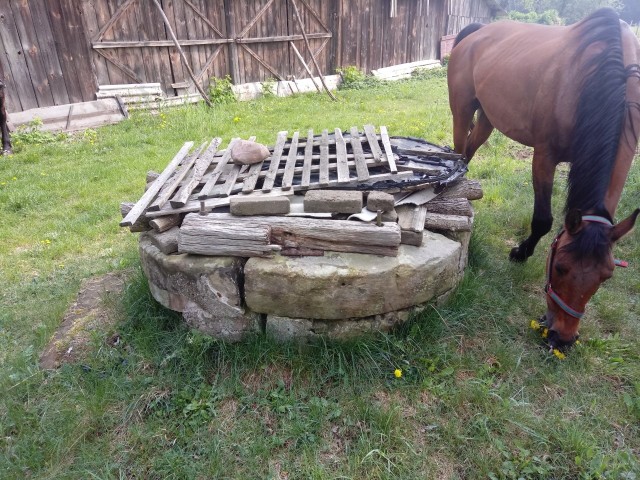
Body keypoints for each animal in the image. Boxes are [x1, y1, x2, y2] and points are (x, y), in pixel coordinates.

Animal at [448, 8, 640, 348]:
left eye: (606, 276)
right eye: (560, 267)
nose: (563, 337)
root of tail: (478, 32)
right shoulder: (545, 155)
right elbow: (543, 220)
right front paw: (520, 253)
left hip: (487, 118)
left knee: (469, 152)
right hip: (462, 110)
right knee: (459, 151)